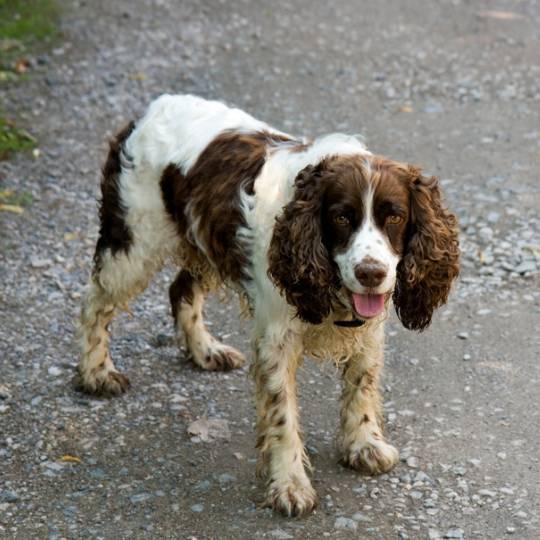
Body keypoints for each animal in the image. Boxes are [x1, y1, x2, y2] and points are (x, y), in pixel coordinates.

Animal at [77, 95, 460, 516]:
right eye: (342, 217)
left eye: (395, 216)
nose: (371, 273)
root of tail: (147, 111)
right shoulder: (277, 339)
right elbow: (282, 416)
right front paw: (290, 485)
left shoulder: (368, 332)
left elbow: (361, 386)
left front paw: (364, 445)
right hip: (133, 244)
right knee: (93, 303)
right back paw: (96, 373)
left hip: (204, 242)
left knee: (179, 290)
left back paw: (205, 351)